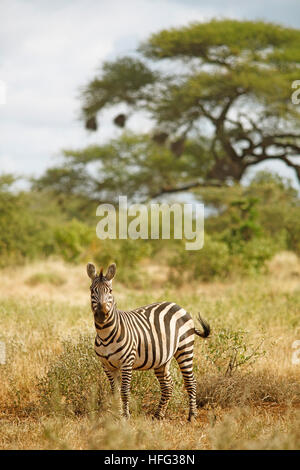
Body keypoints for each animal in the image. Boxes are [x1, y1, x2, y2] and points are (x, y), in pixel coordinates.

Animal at [86, 262, 209, 420]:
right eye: (92, 290)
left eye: (110, 291)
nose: (101, 315)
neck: (105, 334)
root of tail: (177, 305)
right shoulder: (107, 365)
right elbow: (114, 392)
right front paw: (116, 416)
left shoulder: (127, 362)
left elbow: (124, 391)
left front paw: (125, 416)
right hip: (163, 359)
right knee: (168, 385)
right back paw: (159, 414)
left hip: (185, 348)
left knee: (190, 382)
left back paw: (192, 416)